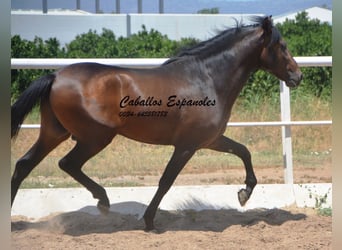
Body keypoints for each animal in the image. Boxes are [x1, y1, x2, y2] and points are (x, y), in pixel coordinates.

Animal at [10, 16, 302, 230]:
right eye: (282, 46)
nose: (297, 76)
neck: (207, 78)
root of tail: (55, 76)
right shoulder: (186, 146)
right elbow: (166, 181)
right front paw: (149, 221)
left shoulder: (210, 140)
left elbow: (244, 151)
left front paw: (244, 194)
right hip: (95, 137)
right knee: (67, 164)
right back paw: (103, 201)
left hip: (54, 133)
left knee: (23, 166)